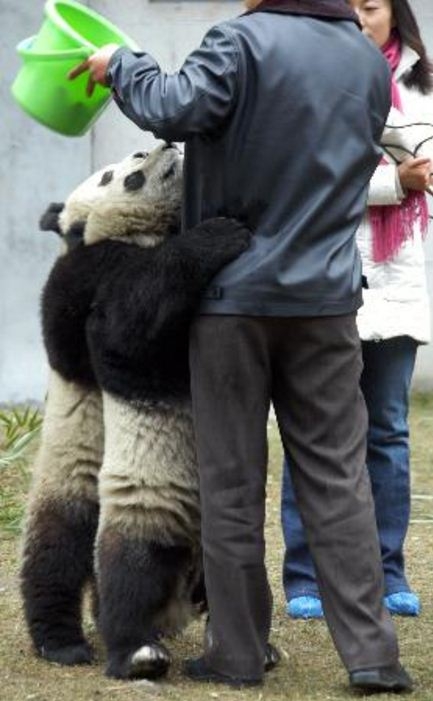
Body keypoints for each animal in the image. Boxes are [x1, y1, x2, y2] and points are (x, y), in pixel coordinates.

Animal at [20, 143, 251, 681]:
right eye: (118, 175)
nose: (160, 145)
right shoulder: (98, 276)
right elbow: (126, 330)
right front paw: (221, 234)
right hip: (132, 500)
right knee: (110, 569)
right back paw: (115, 649)